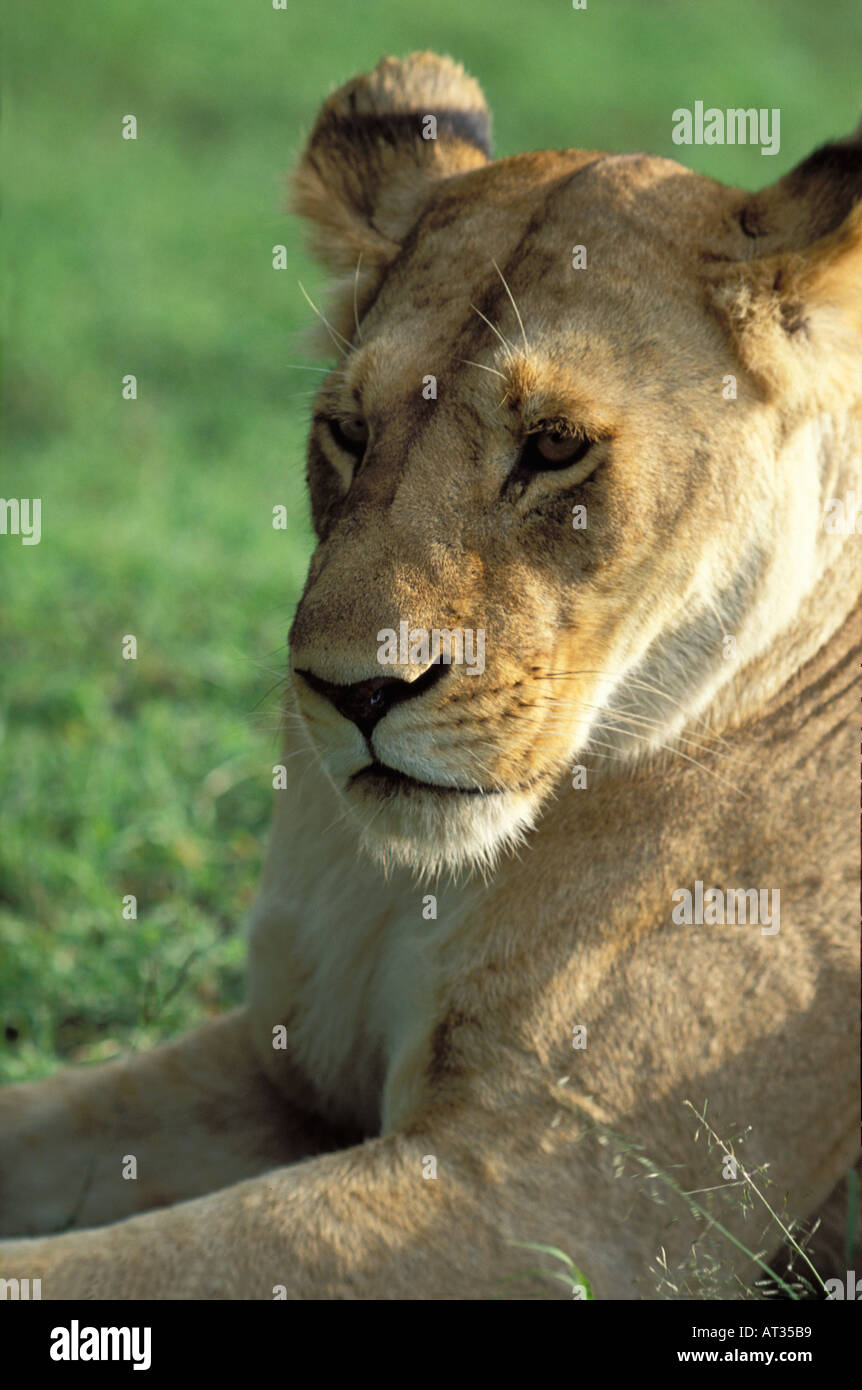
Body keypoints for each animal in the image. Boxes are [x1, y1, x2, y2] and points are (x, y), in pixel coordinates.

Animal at [0, 52, 859, 1300]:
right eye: (349, 431)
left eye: (553, 446)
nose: (355, 693)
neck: (409, 884)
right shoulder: (287, 1061)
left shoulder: (540, 1198)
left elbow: (114, 1265)